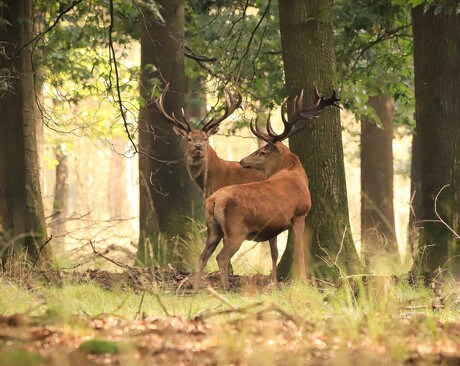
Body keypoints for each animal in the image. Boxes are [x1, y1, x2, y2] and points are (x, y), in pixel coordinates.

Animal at [196, 88, 340, 288]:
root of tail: (213, 201)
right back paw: (225, 287)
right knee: (221, 257)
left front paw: (275, 282)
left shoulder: (274, 225)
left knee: (203, 256)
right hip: (236, 230)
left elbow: (274, 253)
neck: (296, 173)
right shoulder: (300, 213)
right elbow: (299, 250)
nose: (242, 161)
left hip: (213, 228)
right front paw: (302, 280)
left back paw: (196, 286)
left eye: (262, 152)